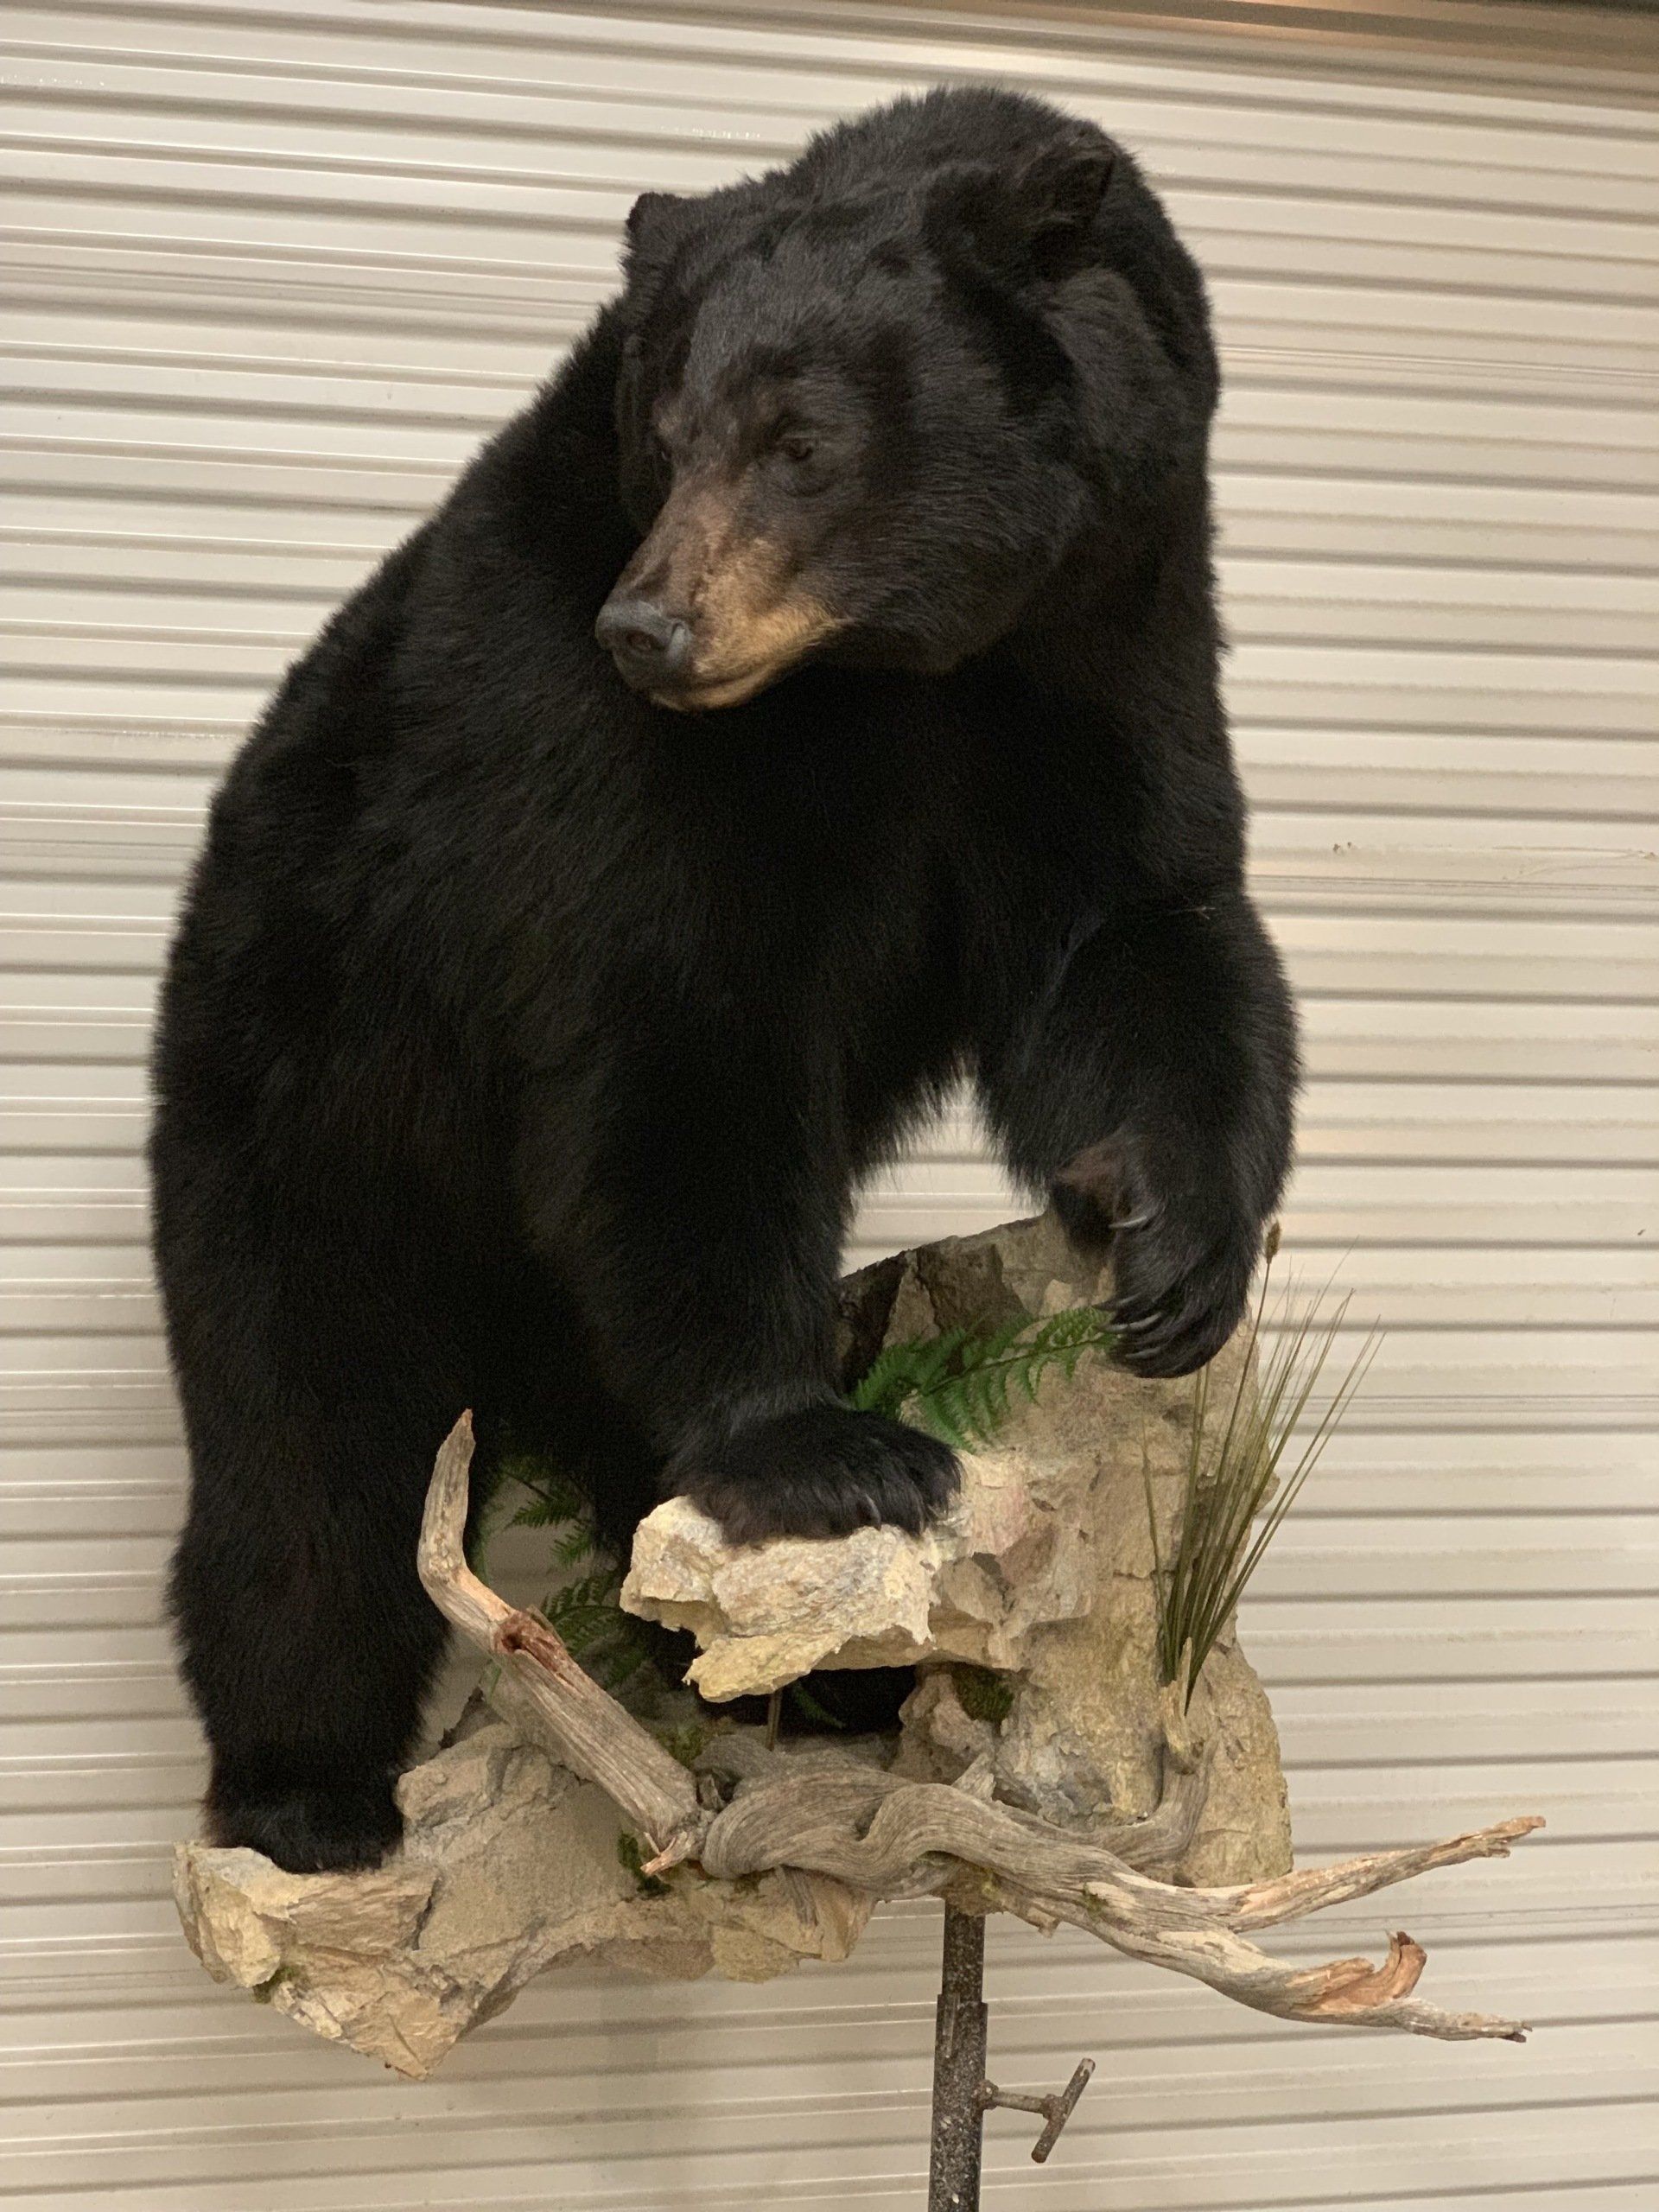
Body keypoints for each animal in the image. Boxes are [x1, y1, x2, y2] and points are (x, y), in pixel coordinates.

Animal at [150, 85, 1298, 1875]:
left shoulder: (1108, 631)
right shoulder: (586, 735)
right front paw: (832, 1450)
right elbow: (673, 1036)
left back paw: (808, 1680)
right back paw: (306, 1794)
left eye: (798, 440)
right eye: (670, 432)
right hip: (308, 1098)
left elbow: (1138, 923)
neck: (892, 670)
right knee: (307, 1458)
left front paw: (1178, 1254)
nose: (652, 626)